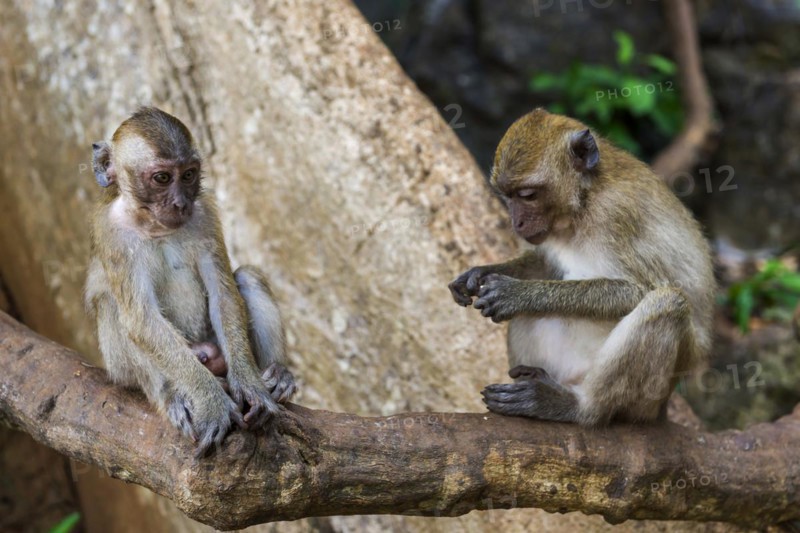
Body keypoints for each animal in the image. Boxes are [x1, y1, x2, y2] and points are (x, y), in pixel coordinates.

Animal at [84, 107, 296, 456]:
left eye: (188, 175)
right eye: (162, 178)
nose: (181, 203)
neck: (154, 226)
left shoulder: (204, 215)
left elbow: (224, 293)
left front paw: (250, 385)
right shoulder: (112, 233)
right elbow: (141, 320)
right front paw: (211, 402)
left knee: (247, 277)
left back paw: (277, 373)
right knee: (112, 306)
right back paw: (173, 395)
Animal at [449, 108, 714, 426]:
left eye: (527, 195)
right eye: (507, 196)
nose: (517, 223)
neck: (584, 202)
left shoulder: (617, 214)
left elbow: (642, 290)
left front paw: (517, 294)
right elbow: (546, 266)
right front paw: (480, 273)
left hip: (648, 401)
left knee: (668, 303)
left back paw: (576, 406)